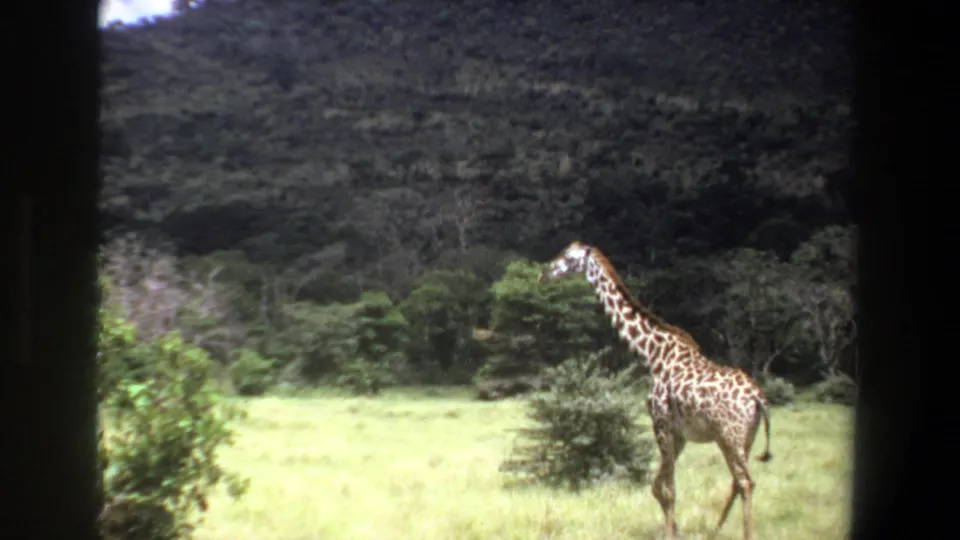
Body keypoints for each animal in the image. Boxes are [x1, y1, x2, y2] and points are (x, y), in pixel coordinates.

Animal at [539, 241, 773, 540]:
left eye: (568, 257)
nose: (544, 273)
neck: (652, 354)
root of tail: (758, 399)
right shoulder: (678, 433)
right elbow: (656, 485)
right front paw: (676, 529)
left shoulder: (661, 423)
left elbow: (668, 489)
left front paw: (671, 532)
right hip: (741, 438)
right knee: (738, 481)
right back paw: (715, 529)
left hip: (730, 435)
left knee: (745, 482)